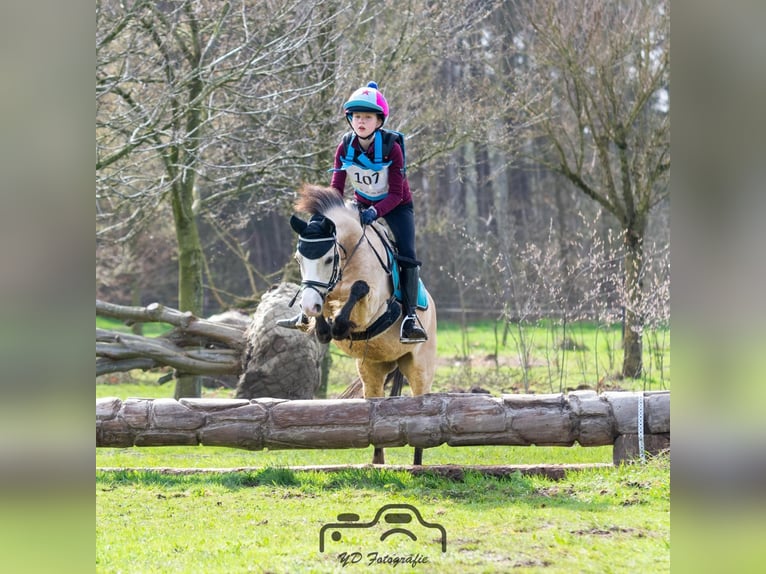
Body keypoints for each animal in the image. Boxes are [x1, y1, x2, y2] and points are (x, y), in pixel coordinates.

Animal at [288, 186, 438, 468]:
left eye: (328, 259)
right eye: (299, 258)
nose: (309, 306)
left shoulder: (374, 306)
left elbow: (359, 290)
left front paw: (340, 326)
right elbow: (327, 302)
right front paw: (323, 327)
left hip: (420, 368)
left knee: (420, 409)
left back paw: (417, 464)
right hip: (372, 370)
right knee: (376, 409)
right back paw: (378, 462)